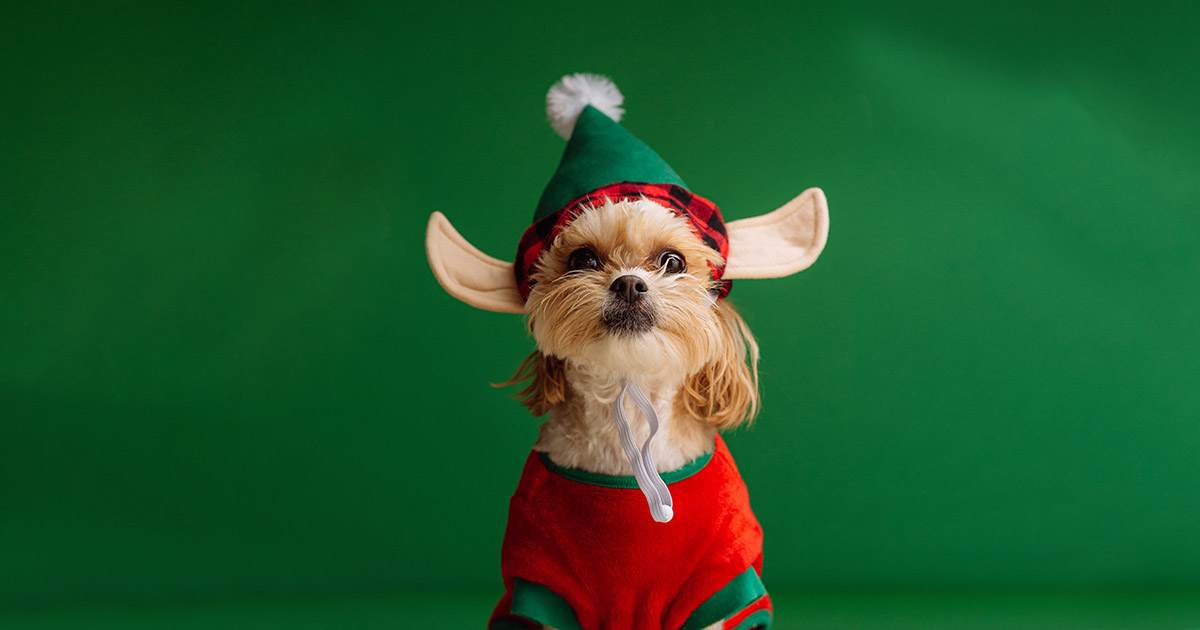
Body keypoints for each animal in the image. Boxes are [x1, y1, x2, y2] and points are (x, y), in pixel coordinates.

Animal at [422, 75, 825, 628]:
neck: (630, 410)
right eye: (582, 259)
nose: (630, 283)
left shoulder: (718, 585)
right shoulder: (543, 588)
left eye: (673, 261)